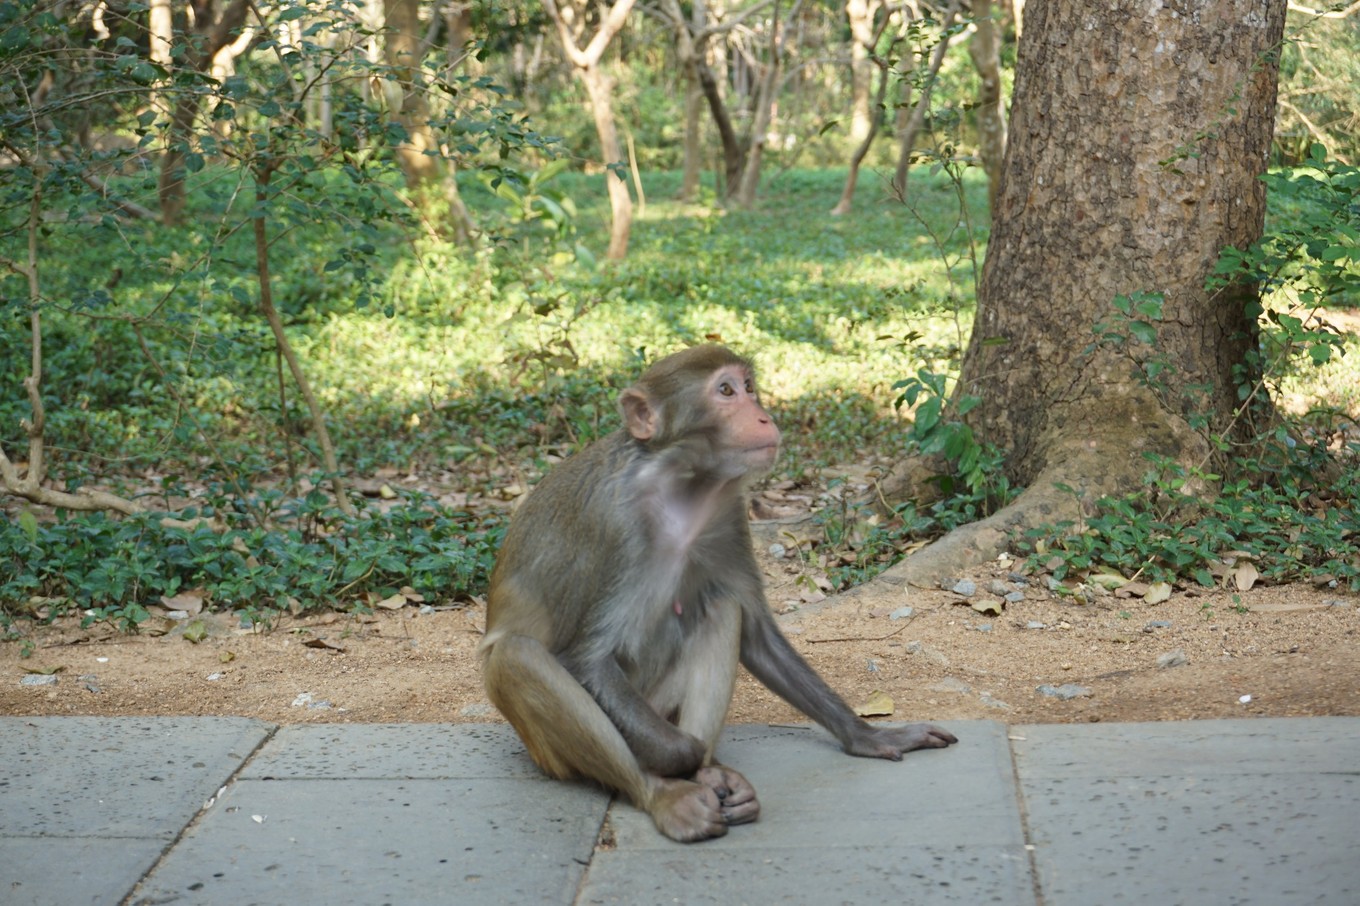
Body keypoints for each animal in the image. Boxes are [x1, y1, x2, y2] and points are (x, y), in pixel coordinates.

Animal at [481, 344, 957, 837]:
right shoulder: (613, 524)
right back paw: (667, 794)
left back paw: (711, 774)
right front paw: (683, 759)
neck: (681, 488)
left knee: (723, 607)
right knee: (517, 656)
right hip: (565, 747)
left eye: (748, 387)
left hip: (658, 707)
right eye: (725, 392)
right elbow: (586, 659)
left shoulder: (729, 513)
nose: (764, 416)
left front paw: (868, 735)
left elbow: (758, 634)